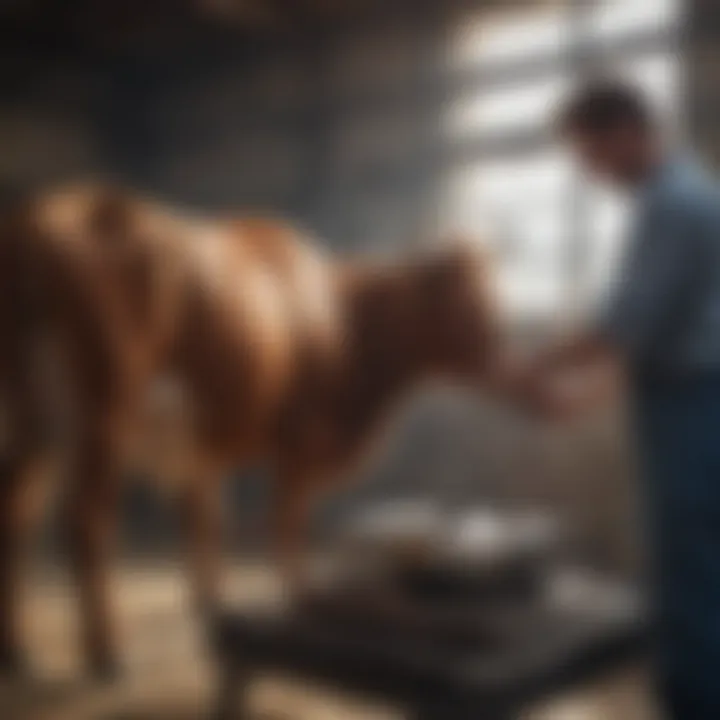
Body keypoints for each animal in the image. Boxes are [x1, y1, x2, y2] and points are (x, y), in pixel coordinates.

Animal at [0, 186, 506, 680]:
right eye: (470, 301)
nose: (495, 352)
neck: (341, 324)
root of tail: (45, 215)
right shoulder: (299, 444)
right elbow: (287, 523)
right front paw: (295, 599)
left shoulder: (205, 446)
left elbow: (208, 519)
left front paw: (211, 604)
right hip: (106, 406)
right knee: (87, 518)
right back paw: (106, 653)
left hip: (35, 415)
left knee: (18, 507)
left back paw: (19, 649)